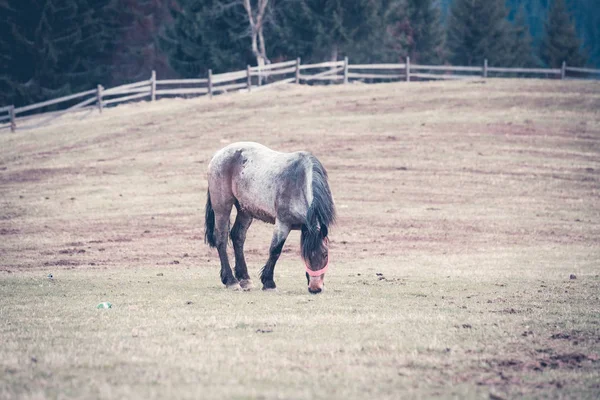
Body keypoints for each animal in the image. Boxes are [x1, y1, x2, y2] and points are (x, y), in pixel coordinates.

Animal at [204, 142, 336, 292]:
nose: (315, 288)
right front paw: (269, 282)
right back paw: (231, 281)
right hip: (222, 207)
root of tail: (218, 154)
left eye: (325, 254)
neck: (300, 182)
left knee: (238, 236)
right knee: (221, 239)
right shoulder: (283, 223)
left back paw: (245, 279)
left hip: (245, 210)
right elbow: (275, 250)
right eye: (306, 256)